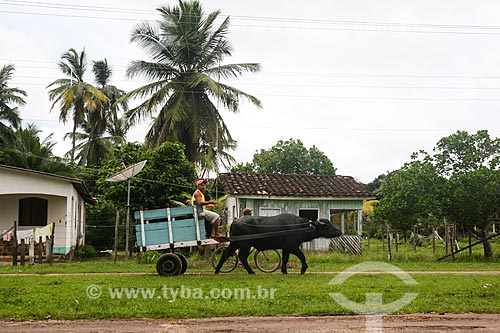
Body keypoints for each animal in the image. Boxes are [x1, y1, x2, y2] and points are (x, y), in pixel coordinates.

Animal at [213, 214, 342, 274]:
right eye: (327, 225)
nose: (339, 232)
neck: (299, 227)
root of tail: (235, 222)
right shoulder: (292, 246)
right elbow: (302, 256)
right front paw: (303, 269)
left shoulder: (286, 248)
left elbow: (285, 259)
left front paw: (284, 271)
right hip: (245, 244)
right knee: (242, 257)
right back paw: (251, 271)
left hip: (235, 244)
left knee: (226, 253)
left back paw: (217, 270)